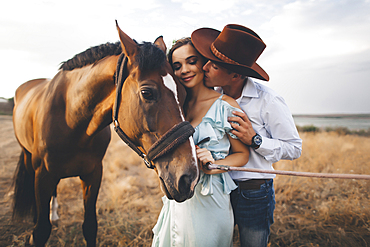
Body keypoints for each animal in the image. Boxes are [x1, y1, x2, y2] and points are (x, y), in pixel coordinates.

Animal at [11, 22, 199, 246]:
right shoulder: (43, 175)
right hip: (28, 157)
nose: (189, 178)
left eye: (184, 92)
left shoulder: (93, 174)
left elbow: (90, 226)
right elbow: (40, 231)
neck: (71, 120)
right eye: (147, 93)